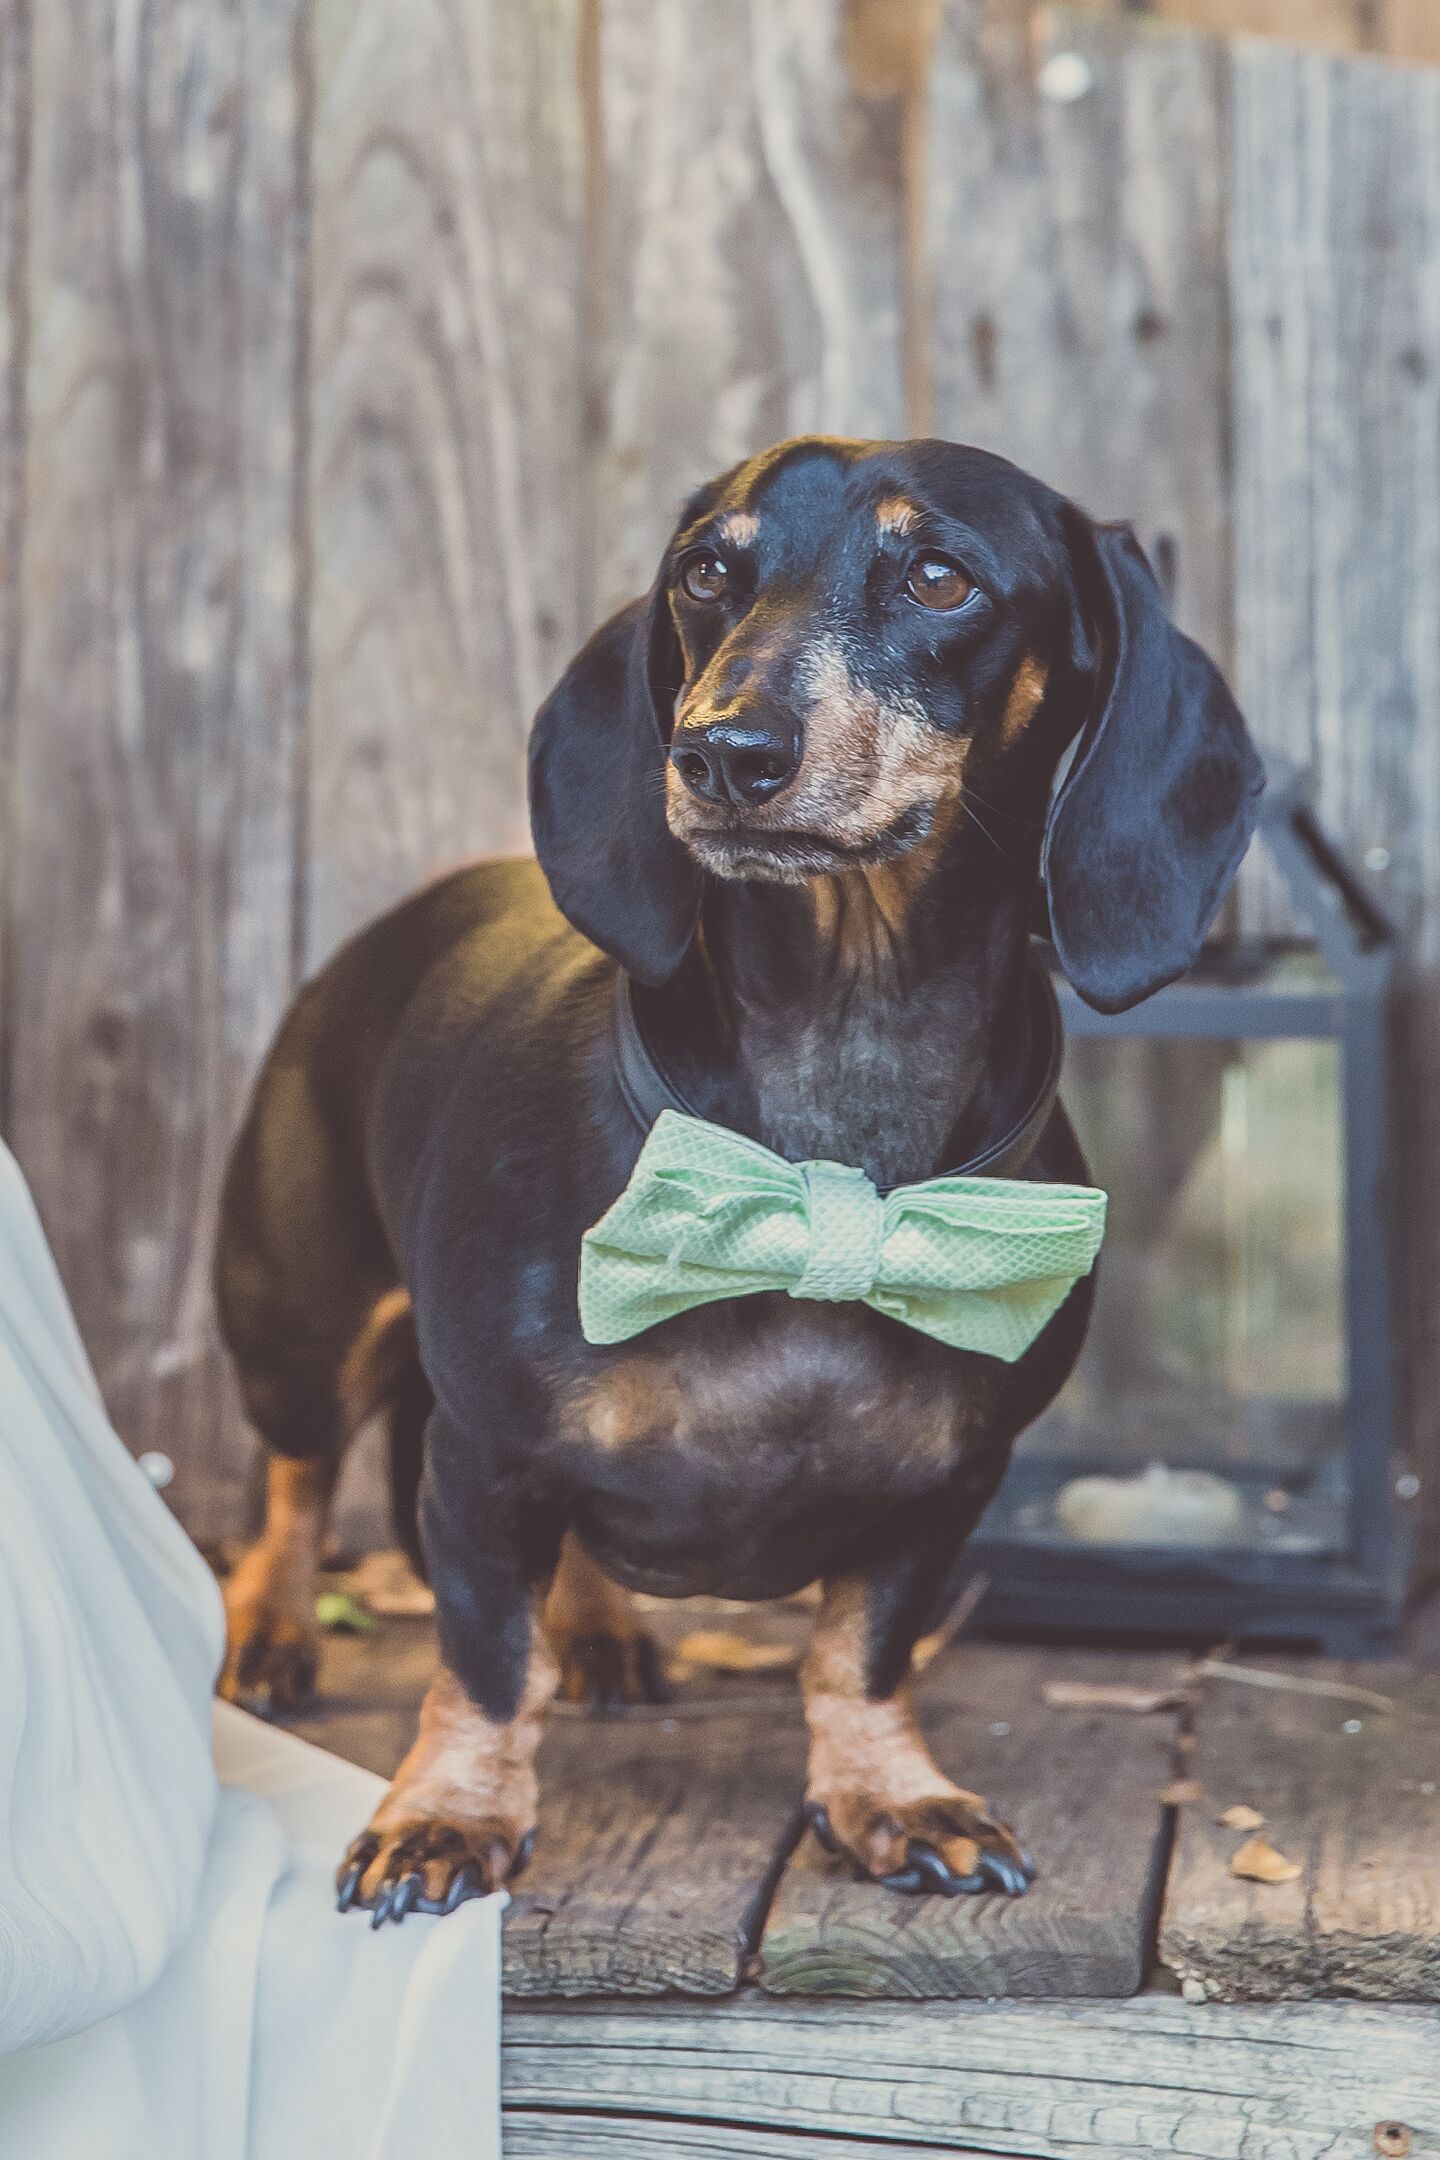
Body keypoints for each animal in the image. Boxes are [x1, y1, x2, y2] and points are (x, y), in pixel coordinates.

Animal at [213, 429, 1260, 1918]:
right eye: (708, 572)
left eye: (940, 576)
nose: (720, 751)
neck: (824, 1136)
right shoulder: (482, 1460)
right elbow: (485, 1661)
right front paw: (446, 1817)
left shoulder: (952, 1485)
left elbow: (860, 1650)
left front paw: (892, 1795)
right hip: (303, 1323)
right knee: (294, 1479)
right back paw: (274, 1630)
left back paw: (600, 1631)